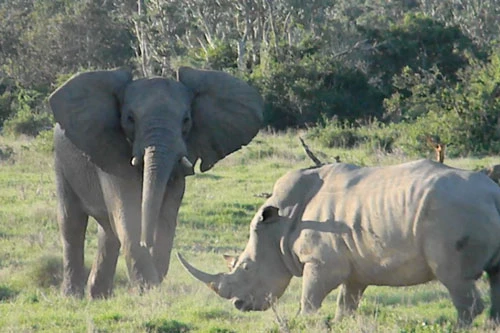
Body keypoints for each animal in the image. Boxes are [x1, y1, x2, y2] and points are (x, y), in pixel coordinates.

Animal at [48, 66, 264, 296]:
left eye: (186, 120)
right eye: (130, 118)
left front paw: (151, 286)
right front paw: (147, 290)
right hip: (61, 162)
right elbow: (128, 216)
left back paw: (97, 297)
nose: (147, 241)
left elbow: (166, 215)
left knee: (107, 232)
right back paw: (72, 296)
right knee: (71, 223)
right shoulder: (111, 152)